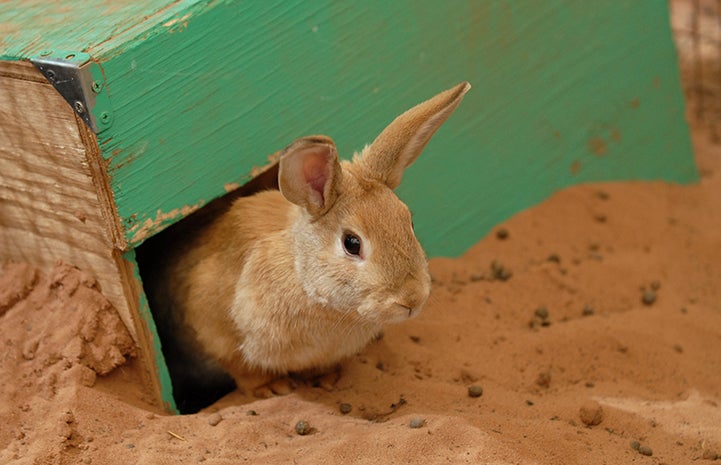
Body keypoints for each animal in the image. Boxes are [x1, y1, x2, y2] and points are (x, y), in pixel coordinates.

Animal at [145, 81, 470, 411]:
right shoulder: (215, 331)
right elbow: (243, 370)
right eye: (352, 243)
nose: (413, 299)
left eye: (409, 221)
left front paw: (324, 378)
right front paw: (271, 388)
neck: (303, 278)